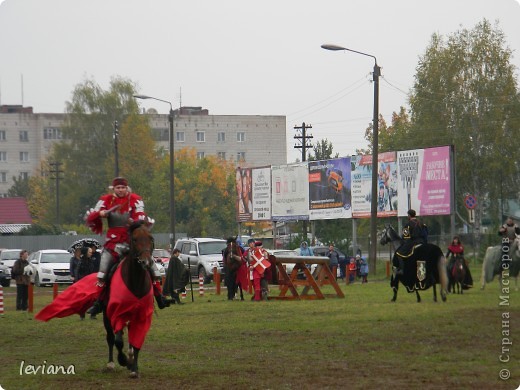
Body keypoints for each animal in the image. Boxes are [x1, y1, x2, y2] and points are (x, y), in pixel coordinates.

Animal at [103, 222, 155, 378]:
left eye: (151, 238)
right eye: (135, 239)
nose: (146, 261)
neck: (135, 282)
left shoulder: (141, 315)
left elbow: (136, 340)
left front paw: (134, 368)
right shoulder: (117, 313)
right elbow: (118, 341)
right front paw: (123, 360)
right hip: (106, 315)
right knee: (110, 337)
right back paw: (111, 363)